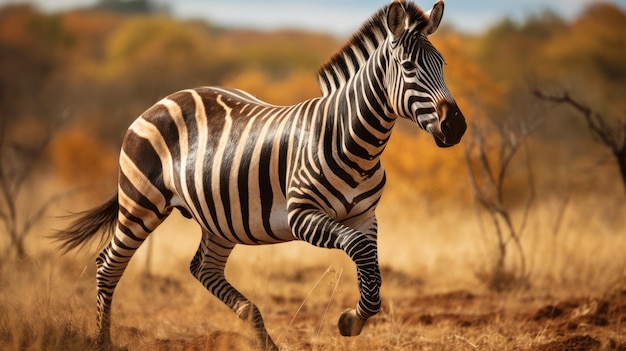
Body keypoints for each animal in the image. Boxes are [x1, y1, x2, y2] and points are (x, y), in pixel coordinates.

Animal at [56, 1, 464, 350]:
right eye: (409, 67)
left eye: (443, 64)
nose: (456, 126)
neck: (354, 143)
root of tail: (166, 98)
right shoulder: (301, 215)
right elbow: (360, 252)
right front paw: (351, 320)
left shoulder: (365, 217)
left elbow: (372, 271)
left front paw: (354, 318)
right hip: (141, 201)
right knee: (108, 265)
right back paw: (102, 341)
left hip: (219, 216)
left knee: (203, 268)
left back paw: (261, 333)